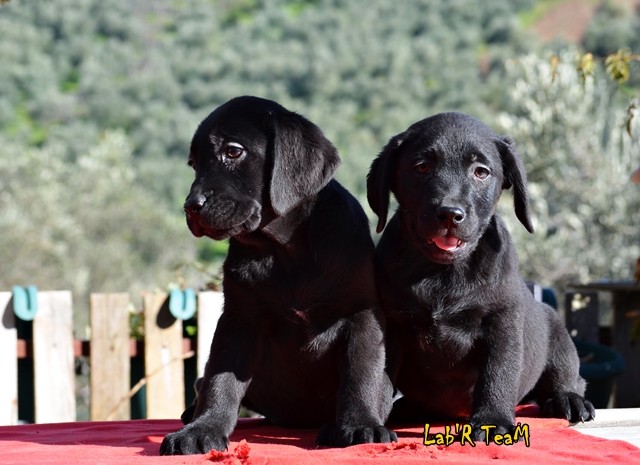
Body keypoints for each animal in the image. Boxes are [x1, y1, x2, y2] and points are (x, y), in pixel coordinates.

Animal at [160, 96, 396, 454]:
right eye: (193, 163)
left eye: (233, 151)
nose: (190, 206)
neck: (286, 252)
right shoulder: (239, 319)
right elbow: (220, 380)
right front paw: (203, 428)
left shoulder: (362, 313)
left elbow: (362, 372)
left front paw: (361, 425)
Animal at [368, 111, 596, 438]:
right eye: (422, 167)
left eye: (481, 172)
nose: (450, 214)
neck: (443, 273)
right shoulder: (393, 326)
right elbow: (378, 377)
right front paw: (370, 421)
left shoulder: (502, 321)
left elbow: (497, 374)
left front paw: (492, 421)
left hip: (556, 331)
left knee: (568, 377)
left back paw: (569, 399)